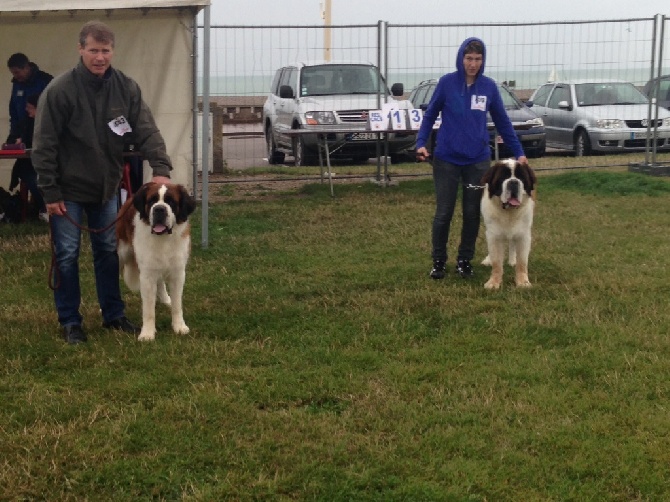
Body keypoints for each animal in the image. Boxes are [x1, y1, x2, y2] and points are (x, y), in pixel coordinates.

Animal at [117, 182, 197, 344]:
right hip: (121, 253)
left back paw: (166, 299)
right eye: (152, 200)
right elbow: (148, 310)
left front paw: (179, 326)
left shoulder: (178, 273)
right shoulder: (147, 275)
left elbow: (177, 304)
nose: (159, 209)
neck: (163, 239)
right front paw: (147, 333)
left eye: (171, 201)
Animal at [480, 157, 540, 290]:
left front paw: (523, 282)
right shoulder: (493, 235)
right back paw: (488, 259)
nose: (513, 182)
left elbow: (522, 262)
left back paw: (512, 260)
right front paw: (493, 283)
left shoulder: (523, 235)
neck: (508, 212)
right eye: (503, 177)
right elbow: (497, 262)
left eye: (521, 177)